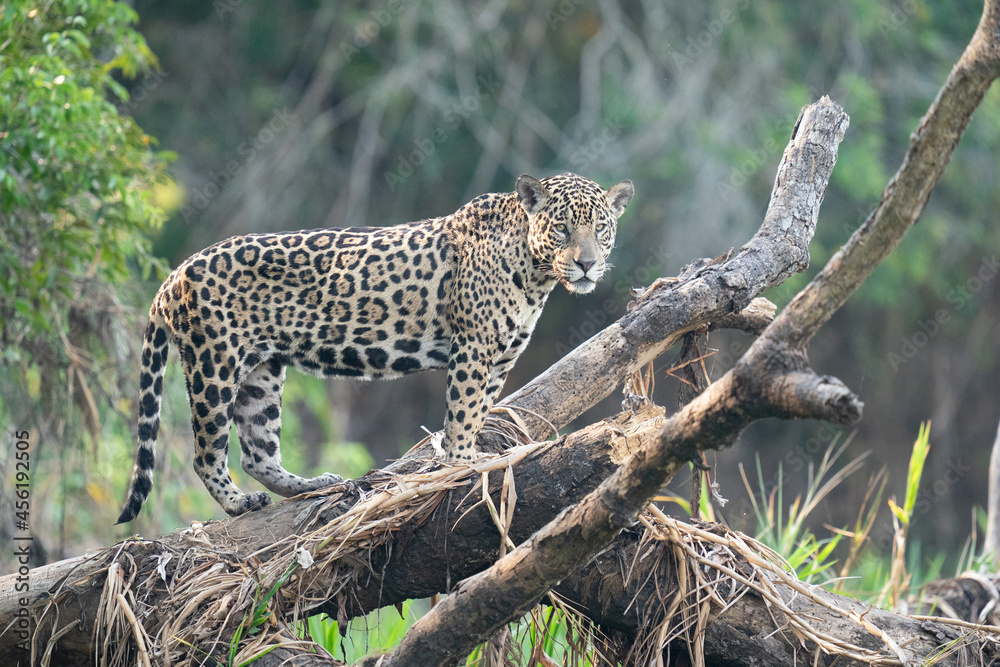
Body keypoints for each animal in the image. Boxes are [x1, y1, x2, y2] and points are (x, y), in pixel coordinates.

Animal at [116, 172, 633, 523]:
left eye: (601, 229)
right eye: (562, 228)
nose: (587, 264)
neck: (535, 273)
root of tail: (176, 273)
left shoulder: (501, 356)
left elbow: (480, 408)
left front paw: (467, 450)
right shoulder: (473, 347)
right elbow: (463, 409)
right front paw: (463, 461)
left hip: (262, 371)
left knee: (258, 452)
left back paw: (310, 484)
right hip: (215, 364)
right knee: (206, 453)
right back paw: (239, 503)